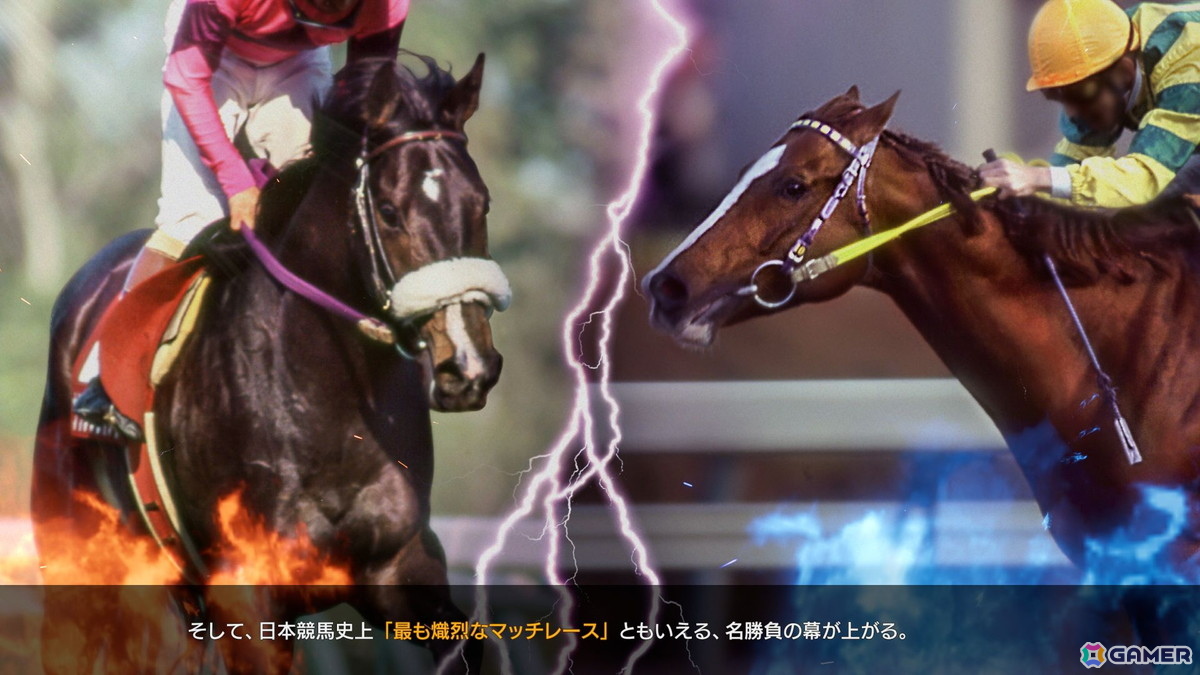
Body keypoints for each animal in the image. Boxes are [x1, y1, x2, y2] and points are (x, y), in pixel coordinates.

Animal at [32, 53, 503, 673]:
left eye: (481, 203)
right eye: (390, 211)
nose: (468, 364)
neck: (325, 397)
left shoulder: (400, 565)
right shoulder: (246, 588)